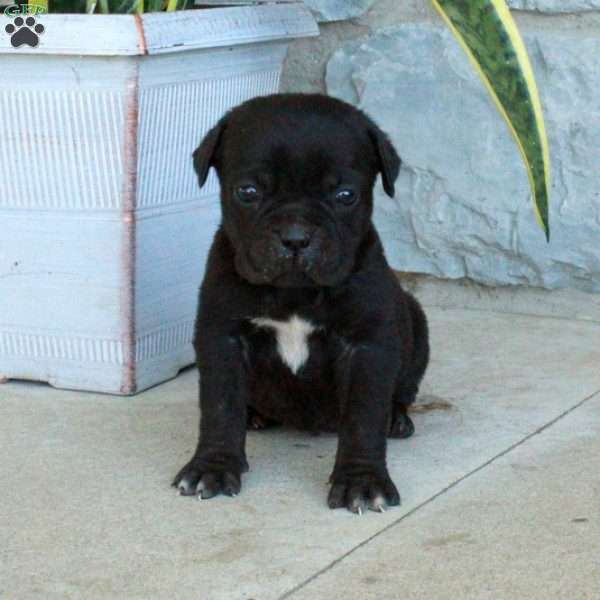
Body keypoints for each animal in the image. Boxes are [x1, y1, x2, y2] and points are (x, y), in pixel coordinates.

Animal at [173, 95, 432, 516]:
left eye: (346, 196)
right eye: (247, 191)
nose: (295, 236)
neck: (294, 292)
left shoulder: (367, 346)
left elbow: (363, 417)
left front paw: (361, 481)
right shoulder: (223, 337)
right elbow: (220, 407)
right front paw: (212, 467)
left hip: (415, 322)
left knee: (400, 393)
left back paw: (397, 419)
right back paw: (254, 415)